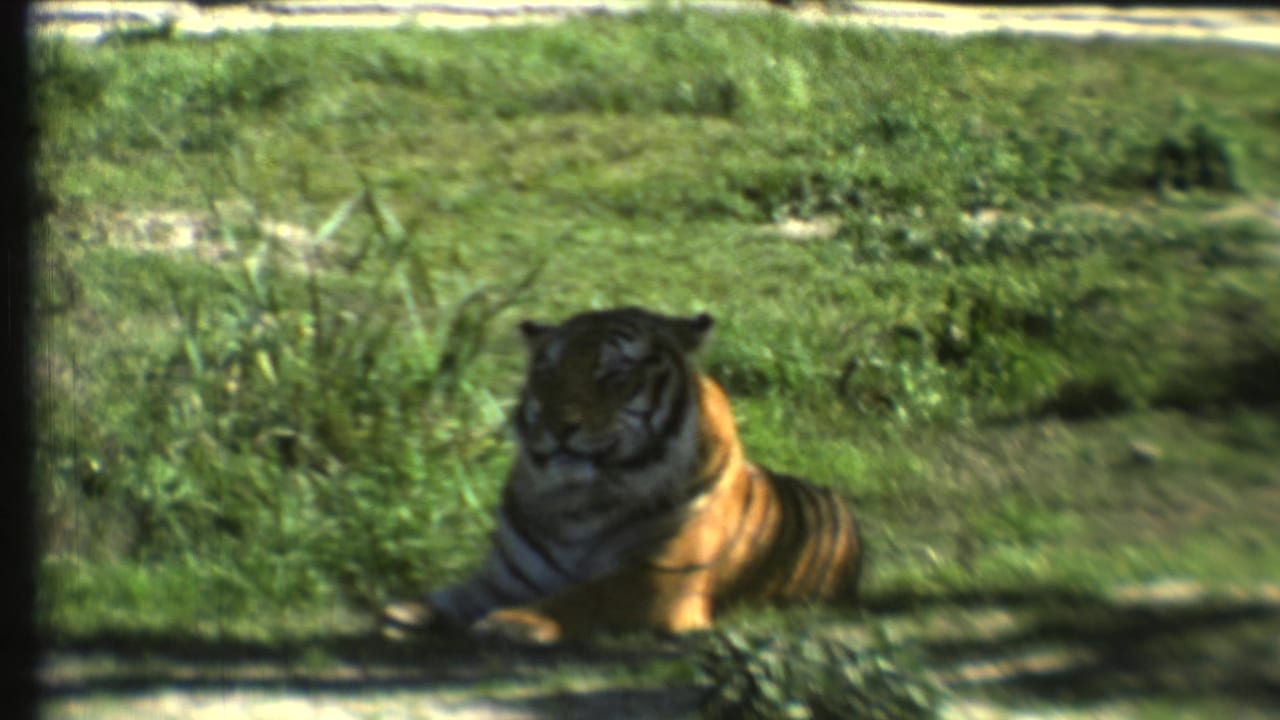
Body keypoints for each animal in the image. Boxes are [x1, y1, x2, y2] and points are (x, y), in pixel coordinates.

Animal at [381, 307, 863, 644]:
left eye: (613, 374)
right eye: (548, 374)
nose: (560, 425)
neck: (577, 503)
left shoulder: (660, 579)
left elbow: (586, 594)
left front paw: (515, 621)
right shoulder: (504, 578)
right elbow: (455, 593)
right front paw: (406, 611)